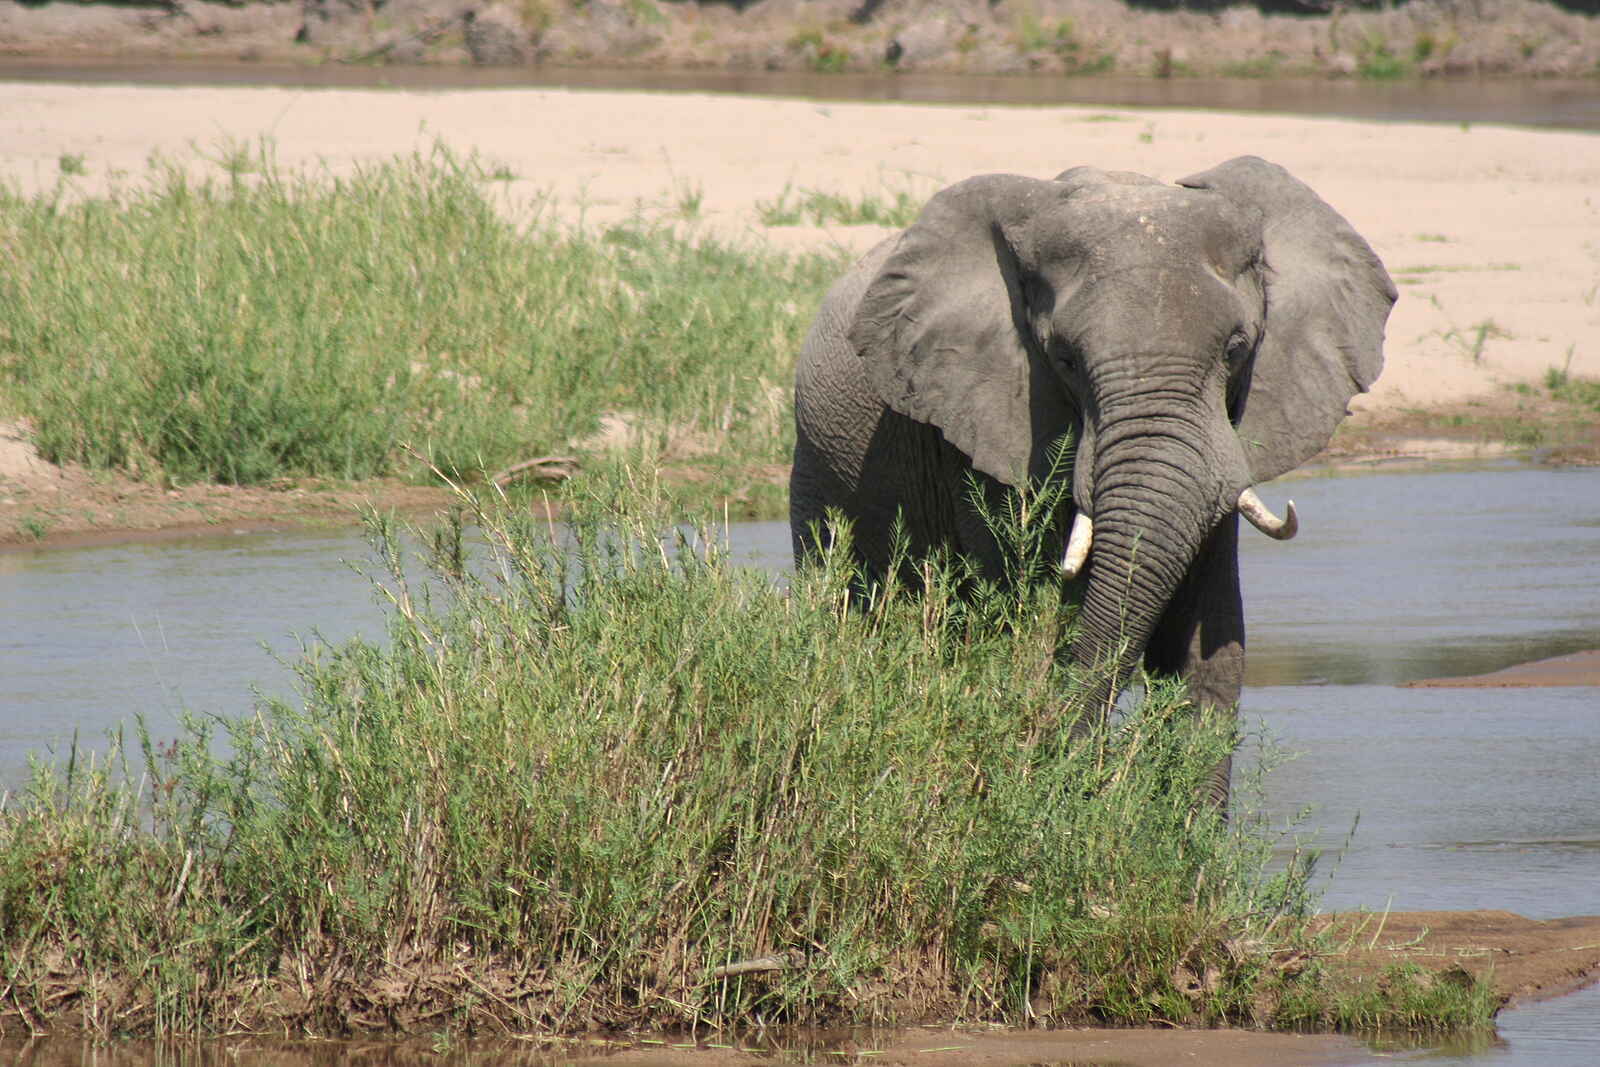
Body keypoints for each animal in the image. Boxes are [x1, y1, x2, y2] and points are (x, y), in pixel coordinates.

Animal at [789, 156, 1396, 804]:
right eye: (1064, 360)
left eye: (1236, 350)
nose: (1068, 773)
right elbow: (1027, 620)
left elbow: (1210, 648)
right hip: (816, 472)